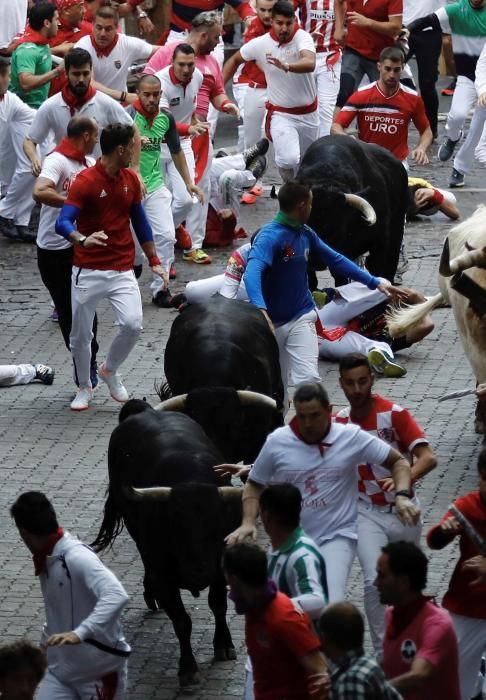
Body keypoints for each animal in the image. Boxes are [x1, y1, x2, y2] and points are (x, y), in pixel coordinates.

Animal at [90, 404, 241, 688]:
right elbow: (182, 621)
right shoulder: (164, 572)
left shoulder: (220, 567)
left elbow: (218, 604)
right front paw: (188, 668)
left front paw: (224, 645)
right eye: (176, 523)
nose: (198, 571)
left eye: (216, 524)